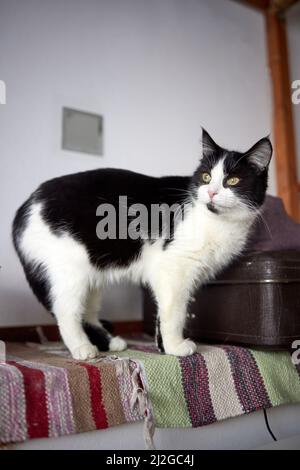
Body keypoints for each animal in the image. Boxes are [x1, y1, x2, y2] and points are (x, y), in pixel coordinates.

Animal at [12, 130, 272, 358]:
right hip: (69, 271)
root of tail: (26, 206)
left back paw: (110, 342)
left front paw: (164, 347)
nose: (211, 192)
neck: (218, 222)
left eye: (233, 180)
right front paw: (176, 347)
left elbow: (163, 311)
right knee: (66, 313)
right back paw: (82, 349)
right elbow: (175, 312)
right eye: (206, 176)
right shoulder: (174, 268)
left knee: (87, 312)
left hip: (91, 274)